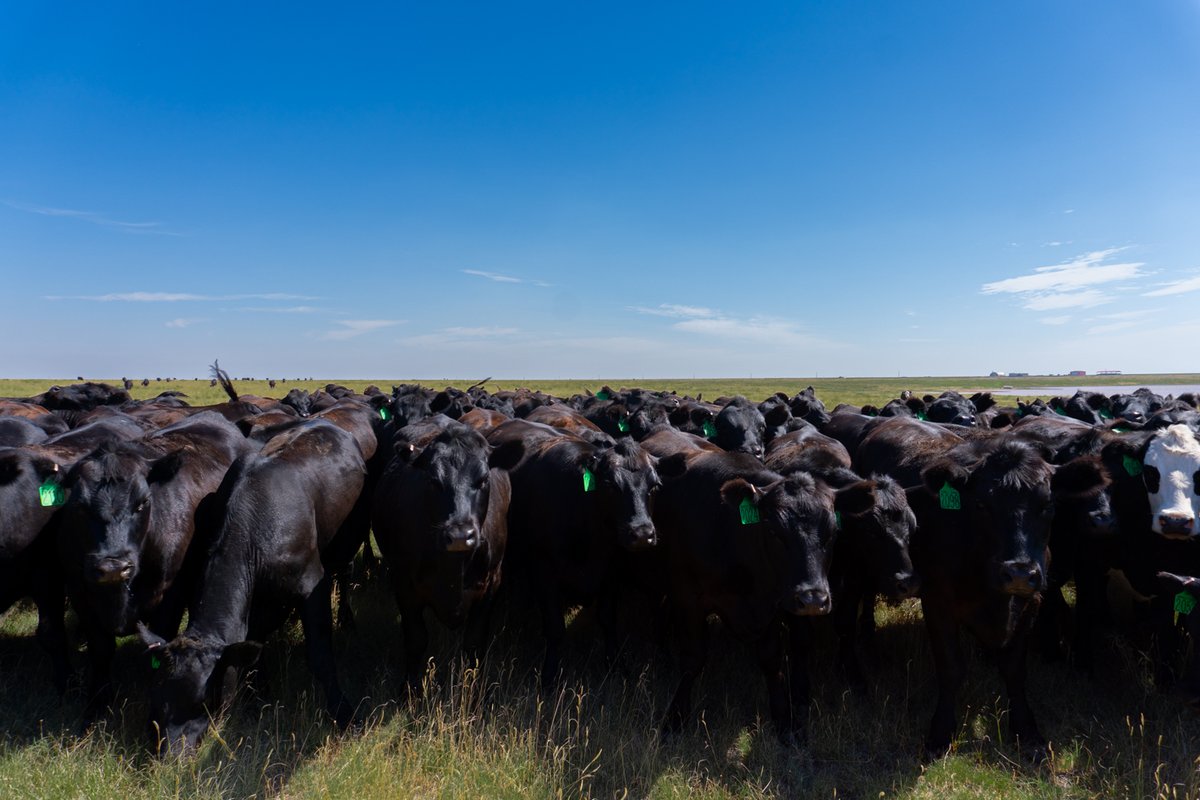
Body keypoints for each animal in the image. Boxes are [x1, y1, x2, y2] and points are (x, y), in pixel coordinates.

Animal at [55, 412, 256, 719]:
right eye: (79, 506)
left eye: (142, 503)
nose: (114, 567)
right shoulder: (80, 593)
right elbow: (100, 652)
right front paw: (97, 707)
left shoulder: (170, 595)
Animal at [137, 419, 364, 758]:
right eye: (157, 694)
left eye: (205, 701)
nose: (170, 756)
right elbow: (255, 649)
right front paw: (259, 697)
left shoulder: (313, 583)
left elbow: (320, 654)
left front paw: (344, 714)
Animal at [364, 419, 516, 690]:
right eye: (433, 481)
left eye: (483, 479)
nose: (460, 535)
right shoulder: (403, 584)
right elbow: (416, 639)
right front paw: (410, 689)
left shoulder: (492, 583)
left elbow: (474, 642)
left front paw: (473, 689)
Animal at [482, 424, 662, 681]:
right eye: (610, 485)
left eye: (654, 486)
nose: (642, 533)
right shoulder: (543, 567)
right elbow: (555, 627)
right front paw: (549, 675)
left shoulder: (612, 571)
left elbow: (608, 620)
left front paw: (616, 665)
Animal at [657, 450, 873, 743]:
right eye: (774, 532)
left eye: (833, 533)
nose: (813, 599)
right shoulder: (687, 597)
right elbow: (692, 658)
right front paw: (675, 718)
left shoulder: (772, 604)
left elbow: (771, 659)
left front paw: (784, 720)